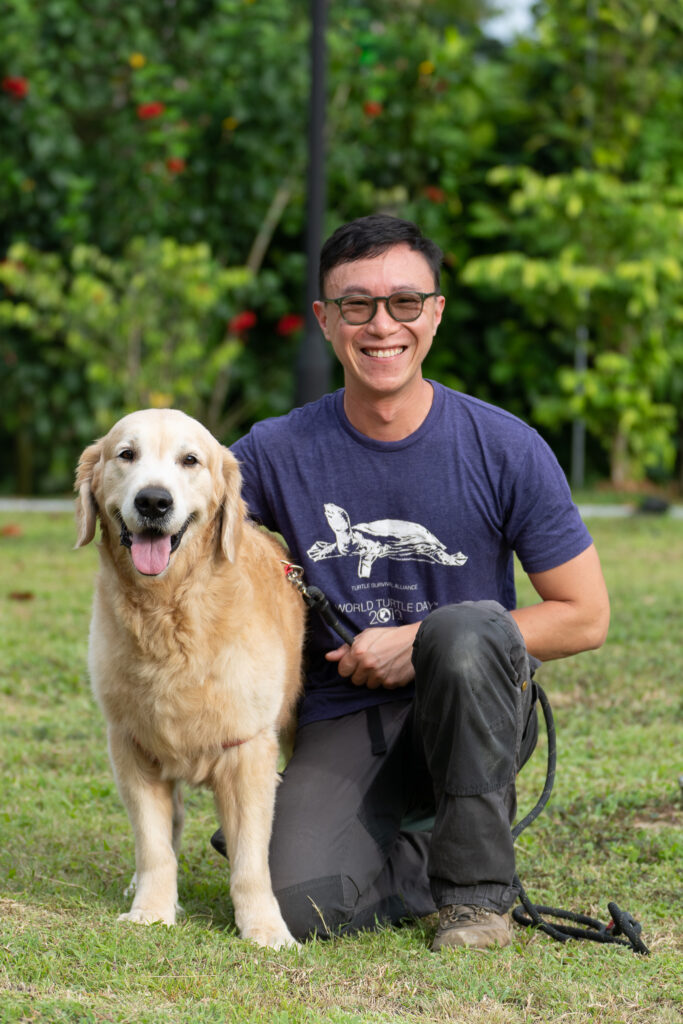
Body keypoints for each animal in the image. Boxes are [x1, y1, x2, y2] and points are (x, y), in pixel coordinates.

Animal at [74, 407, 305, 950]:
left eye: (190, 460)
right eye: (126, 454)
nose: (154, 501)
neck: (169, 613)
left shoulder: (249, 752)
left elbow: (250, 862)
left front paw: (264, 927)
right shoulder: (131, 745)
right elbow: (155, 845)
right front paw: (152, 910)